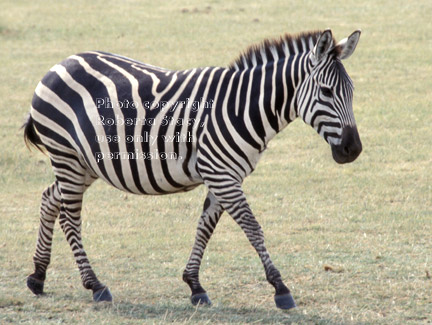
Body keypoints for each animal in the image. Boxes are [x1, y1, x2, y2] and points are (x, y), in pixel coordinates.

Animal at [23, 28, 362, 308]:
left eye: (352, 91)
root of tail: (59, 65)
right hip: (66, 155)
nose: (354, 150)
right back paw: (94, 285)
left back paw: (38, 276)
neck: (242, 108)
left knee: (49, 198)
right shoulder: (222, 175)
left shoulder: (224, 174)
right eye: (327, 92)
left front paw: (195, 285)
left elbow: (205, 227)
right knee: (70, 218)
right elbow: (253, 228)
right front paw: (280, 288)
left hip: (84, 163)